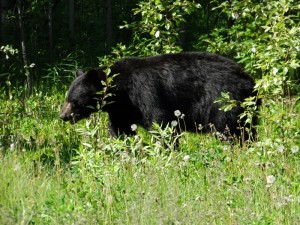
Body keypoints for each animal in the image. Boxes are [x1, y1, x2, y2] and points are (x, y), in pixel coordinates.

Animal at [59, 51, 258, 142]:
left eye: (74, 101)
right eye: (67, 98)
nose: (63, 116)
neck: (122, 91)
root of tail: (250, 81)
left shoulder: (146, 93)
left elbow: (160, 123)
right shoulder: (122, 110)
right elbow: (121, 129)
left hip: (224, 101)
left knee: (227, 129)